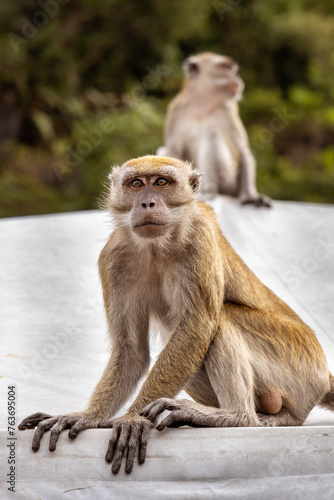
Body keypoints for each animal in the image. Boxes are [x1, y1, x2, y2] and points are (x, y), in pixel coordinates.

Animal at [157, 50, 272, 205]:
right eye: (225, 67)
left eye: (232, 69)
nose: (237, 77)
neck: (203, 103)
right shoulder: (175, 111)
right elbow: (172, 151)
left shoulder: (228, 110)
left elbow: (243, 152)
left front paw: (251, 196)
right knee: (165, 150)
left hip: (230, 181)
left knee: (213, 135)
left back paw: (208, 190)